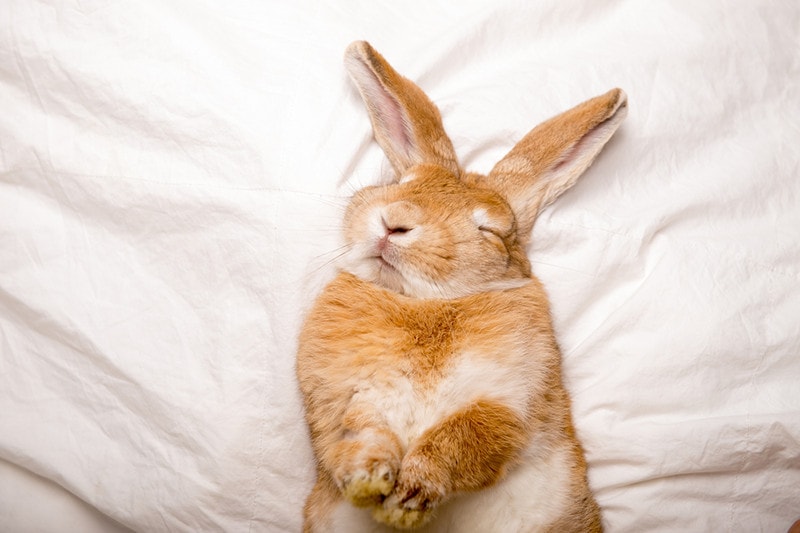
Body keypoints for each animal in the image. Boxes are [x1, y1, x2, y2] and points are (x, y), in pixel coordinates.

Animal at [296, 38, 628, 532]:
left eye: (487, 230)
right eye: (402, 182)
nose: (395, 222)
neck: (424, 303)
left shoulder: (511, 402)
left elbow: (463, 437)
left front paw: (407, 498)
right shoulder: (345, 396)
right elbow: (359, 431)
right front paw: (367, 480)